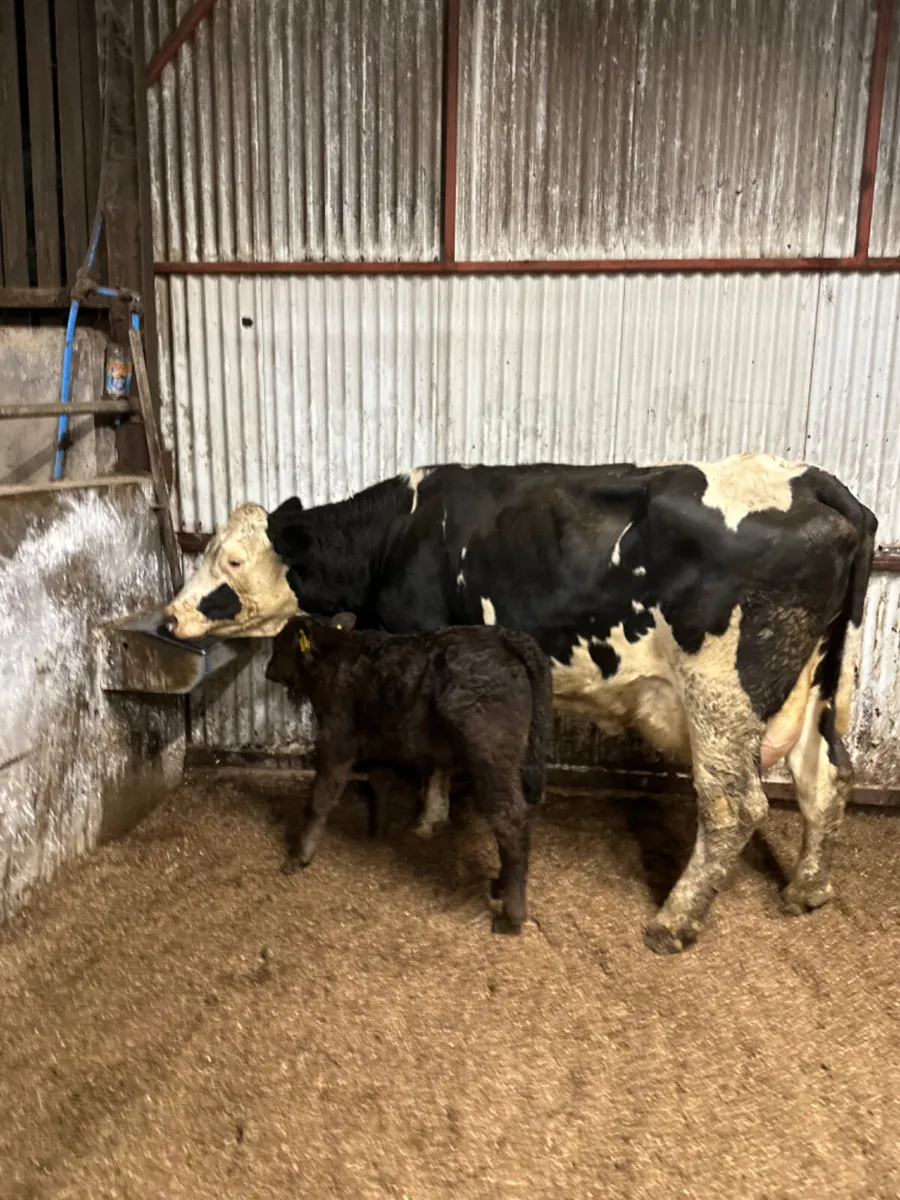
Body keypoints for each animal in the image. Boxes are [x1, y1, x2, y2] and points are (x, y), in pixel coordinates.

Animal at [264, 614, 553, 934]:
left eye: (278, 645)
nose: (268, 670)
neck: (335, 653)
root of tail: (506, 636)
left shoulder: (336, 741)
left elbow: (320, 800)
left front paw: (298, 856)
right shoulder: (378, 743)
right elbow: (380, 783)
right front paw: (377, 832)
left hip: (490, 755)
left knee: (510, 820)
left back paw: (511, 917)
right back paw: (501, 886)